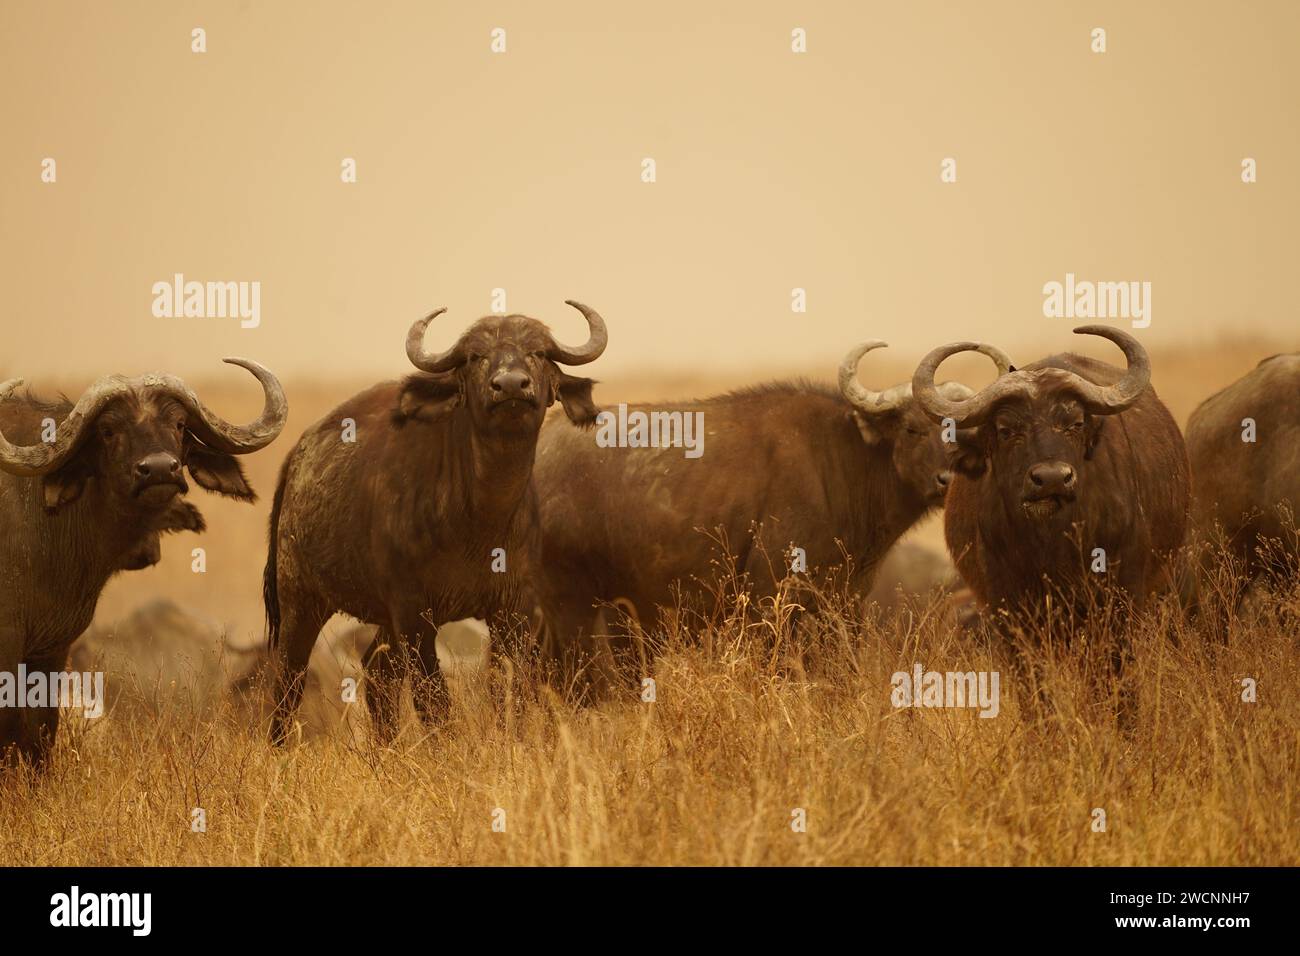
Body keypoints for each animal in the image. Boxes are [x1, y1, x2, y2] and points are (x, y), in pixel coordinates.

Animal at [266, 303, 611, 743]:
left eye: (537, 352)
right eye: (476, 357)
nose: (510, 386)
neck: (480, 520)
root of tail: (297, 456)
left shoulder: (514, 609)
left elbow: (509, 689)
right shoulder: (414, 612)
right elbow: (434, 699)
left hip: (381, 617)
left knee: (377, 672)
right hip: (300, 599)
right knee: (289, 678)